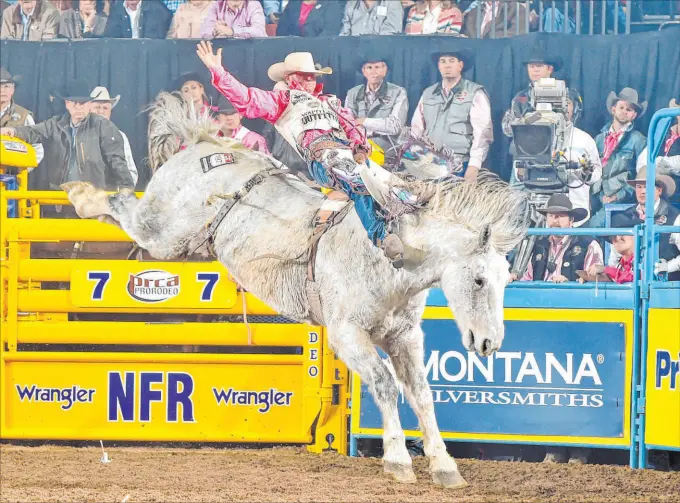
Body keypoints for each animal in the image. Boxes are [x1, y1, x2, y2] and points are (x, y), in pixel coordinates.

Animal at [62, 92, 532, 490]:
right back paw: (83, 196)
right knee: (124, 205)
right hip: (163, 234)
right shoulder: (346, 335)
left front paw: (444, 465)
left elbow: (421, 393)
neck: (392, 255)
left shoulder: (405, 337)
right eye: (478, 280)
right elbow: (385, 385)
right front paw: (398, 461)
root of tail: (201, 144)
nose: (489, 342)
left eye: (506, 279)